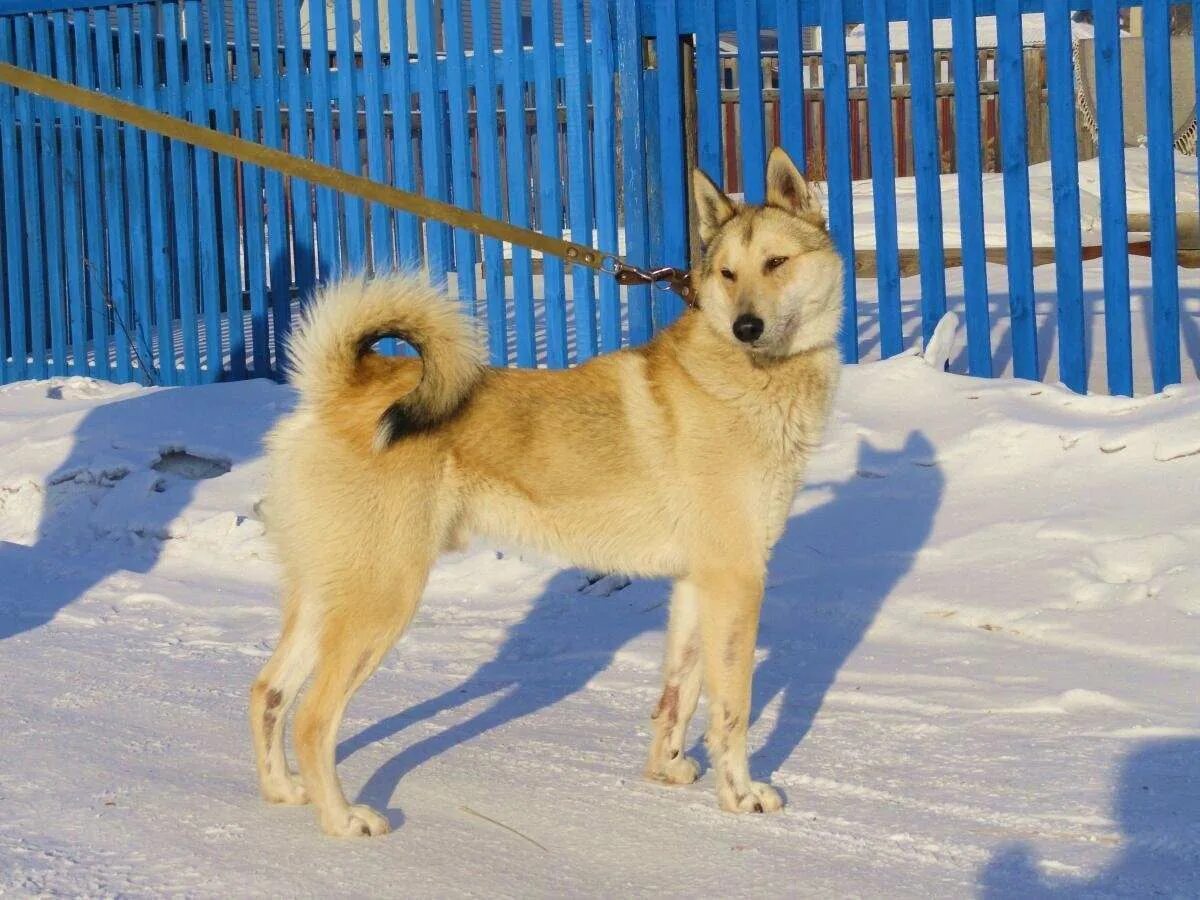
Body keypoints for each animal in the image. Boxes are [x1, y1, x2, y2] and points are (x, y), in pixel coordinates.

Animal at [248, 150, 844, 840]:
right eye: (728, 273)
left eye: (776, 263)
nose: (747, 327)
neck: (745, 378)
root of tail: (341, 390)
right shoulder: (737, 582)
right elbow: (731, 708)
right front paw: (740, 796)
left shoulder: (700, 585)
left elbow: (679, 691)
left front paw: (666, 769)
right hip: (381, 600)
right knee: (313, 717)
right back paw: (343, 819)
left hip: (326, 597)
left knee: (268, 692)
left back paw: (283, 791)